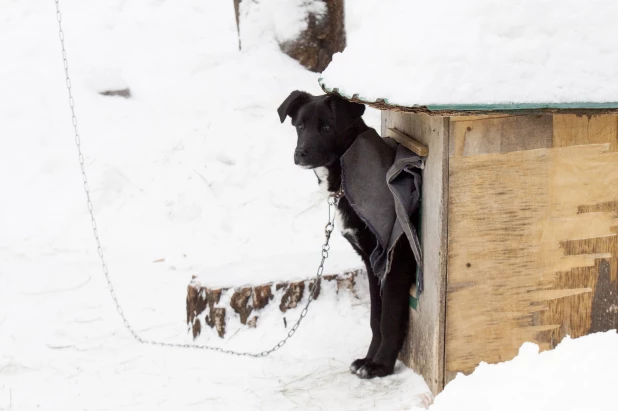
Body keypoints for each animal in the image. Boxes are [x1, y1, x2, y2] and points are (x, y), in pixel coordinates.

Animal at [278, 90, 414, 380]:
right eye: (300, 126)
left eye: (327, 127)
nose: (300, 154)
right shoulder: (372, 262)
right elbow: (375, 317)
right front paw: (368, 358)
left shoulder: (396, 258)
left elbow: (389, 316)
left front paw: (381, 366)